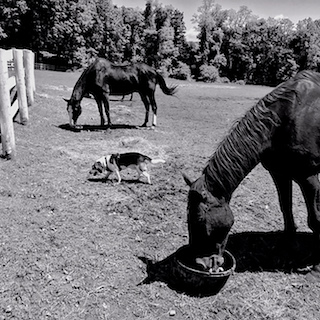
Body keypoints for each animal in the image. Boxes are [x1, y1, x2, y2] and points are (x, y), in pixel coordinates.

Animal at [184, 70, 320, 278]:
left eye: (199, 219)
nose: (200, 263)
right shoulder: (279, 173)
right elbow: (285, 208)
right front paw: (287, 249)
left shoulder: (309, 178)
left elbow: (315, 219)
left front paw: (317, 268)